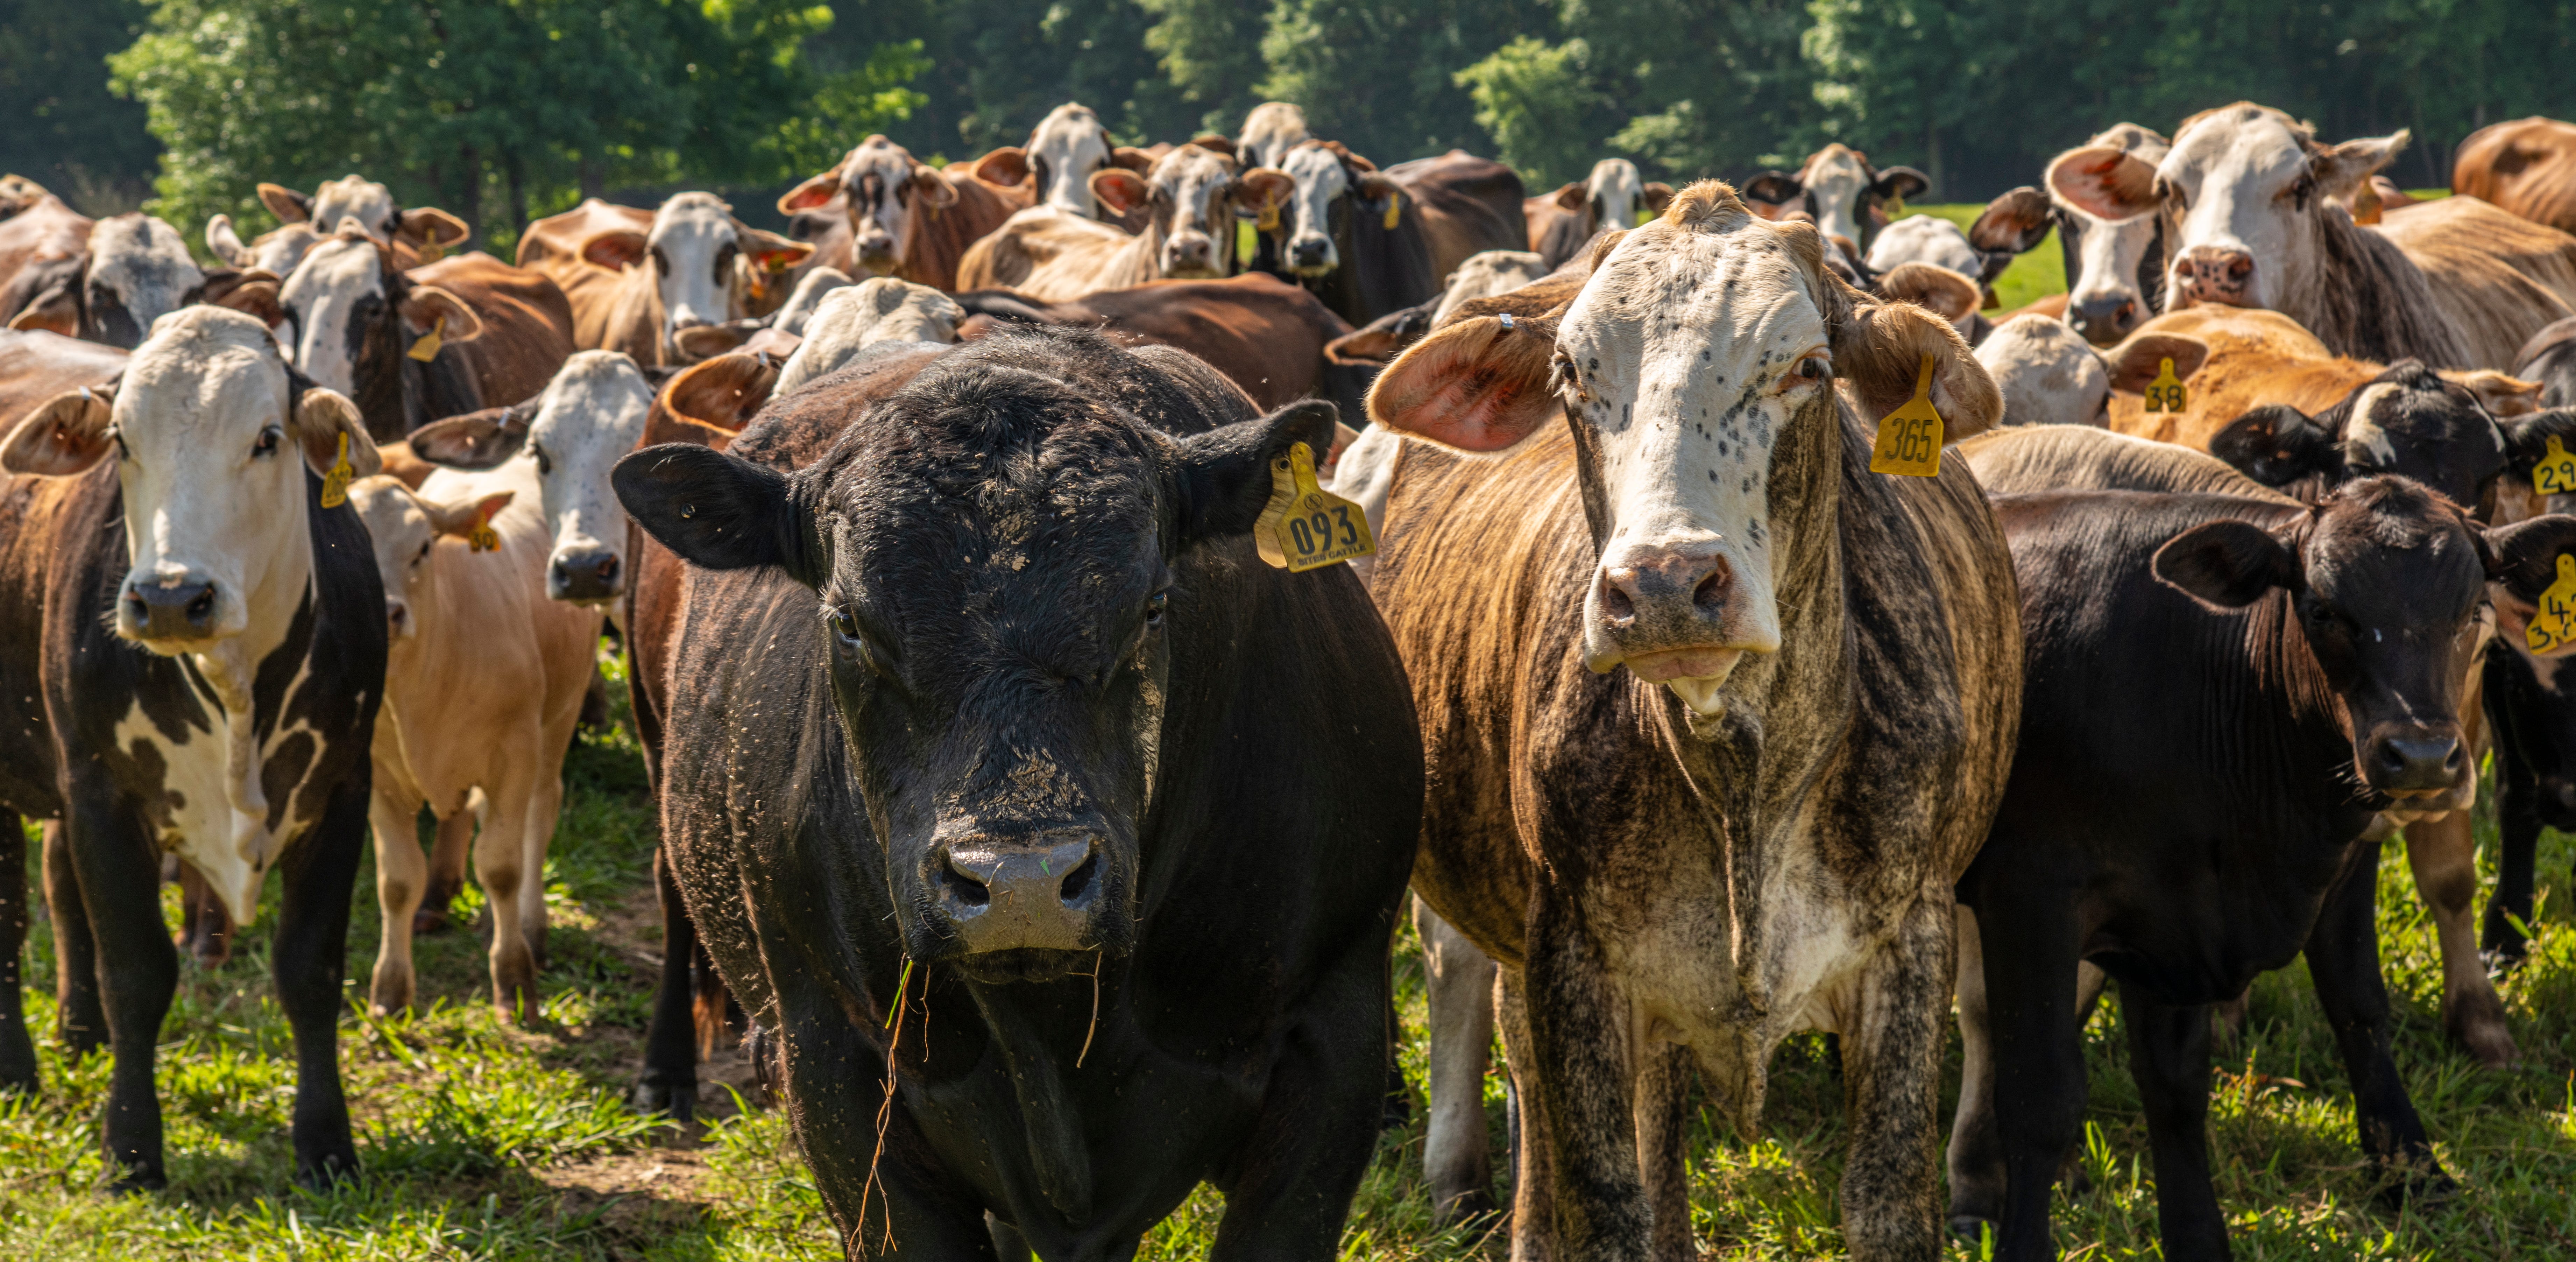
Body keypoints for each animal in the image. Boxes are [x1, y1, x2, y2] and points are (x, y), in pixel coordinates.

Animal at [0, 306, 386, 1189]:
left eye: (269, 437)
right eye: (119, 437)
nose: (172, 597)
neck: (235, 688)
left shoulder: (346, 788)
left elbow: (311, 968)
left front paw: (326, 1144)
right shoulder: (103, 793)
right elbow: (139, 971)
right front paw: (133, 1148)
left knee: (53, 884)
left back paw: (79, 1034)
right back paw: (15, 1068)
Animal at [353, 351, 651, 1021]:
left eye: (422, 549)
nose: (385, 615)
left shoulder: (514, 755)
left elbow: (503, 867)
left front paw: (513, 975)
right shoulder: (378, 780)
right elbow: (396, 881)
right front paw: (390, 991)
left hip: (555, 721)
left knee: (540, 813)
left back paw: (531, 930)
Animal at [1354, 180, 2020, 1258]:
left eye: (1808, 367)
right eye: (1570, 373)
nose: (1664, 584)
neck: (1744, 783)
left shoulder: (1910, 948)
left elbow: (1885, 1199)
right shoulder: (1572, 965)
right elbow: (1604, 1201)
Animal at [1944, 453, 2576, 1257]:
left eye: (2472, 611)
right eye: (2323, 610)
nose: (2421, 758)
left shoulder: (2215, 906)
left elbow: (2327, 1025)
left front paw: (2411, 1172)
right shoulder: (2030, 897)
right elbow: (2040, 1094)